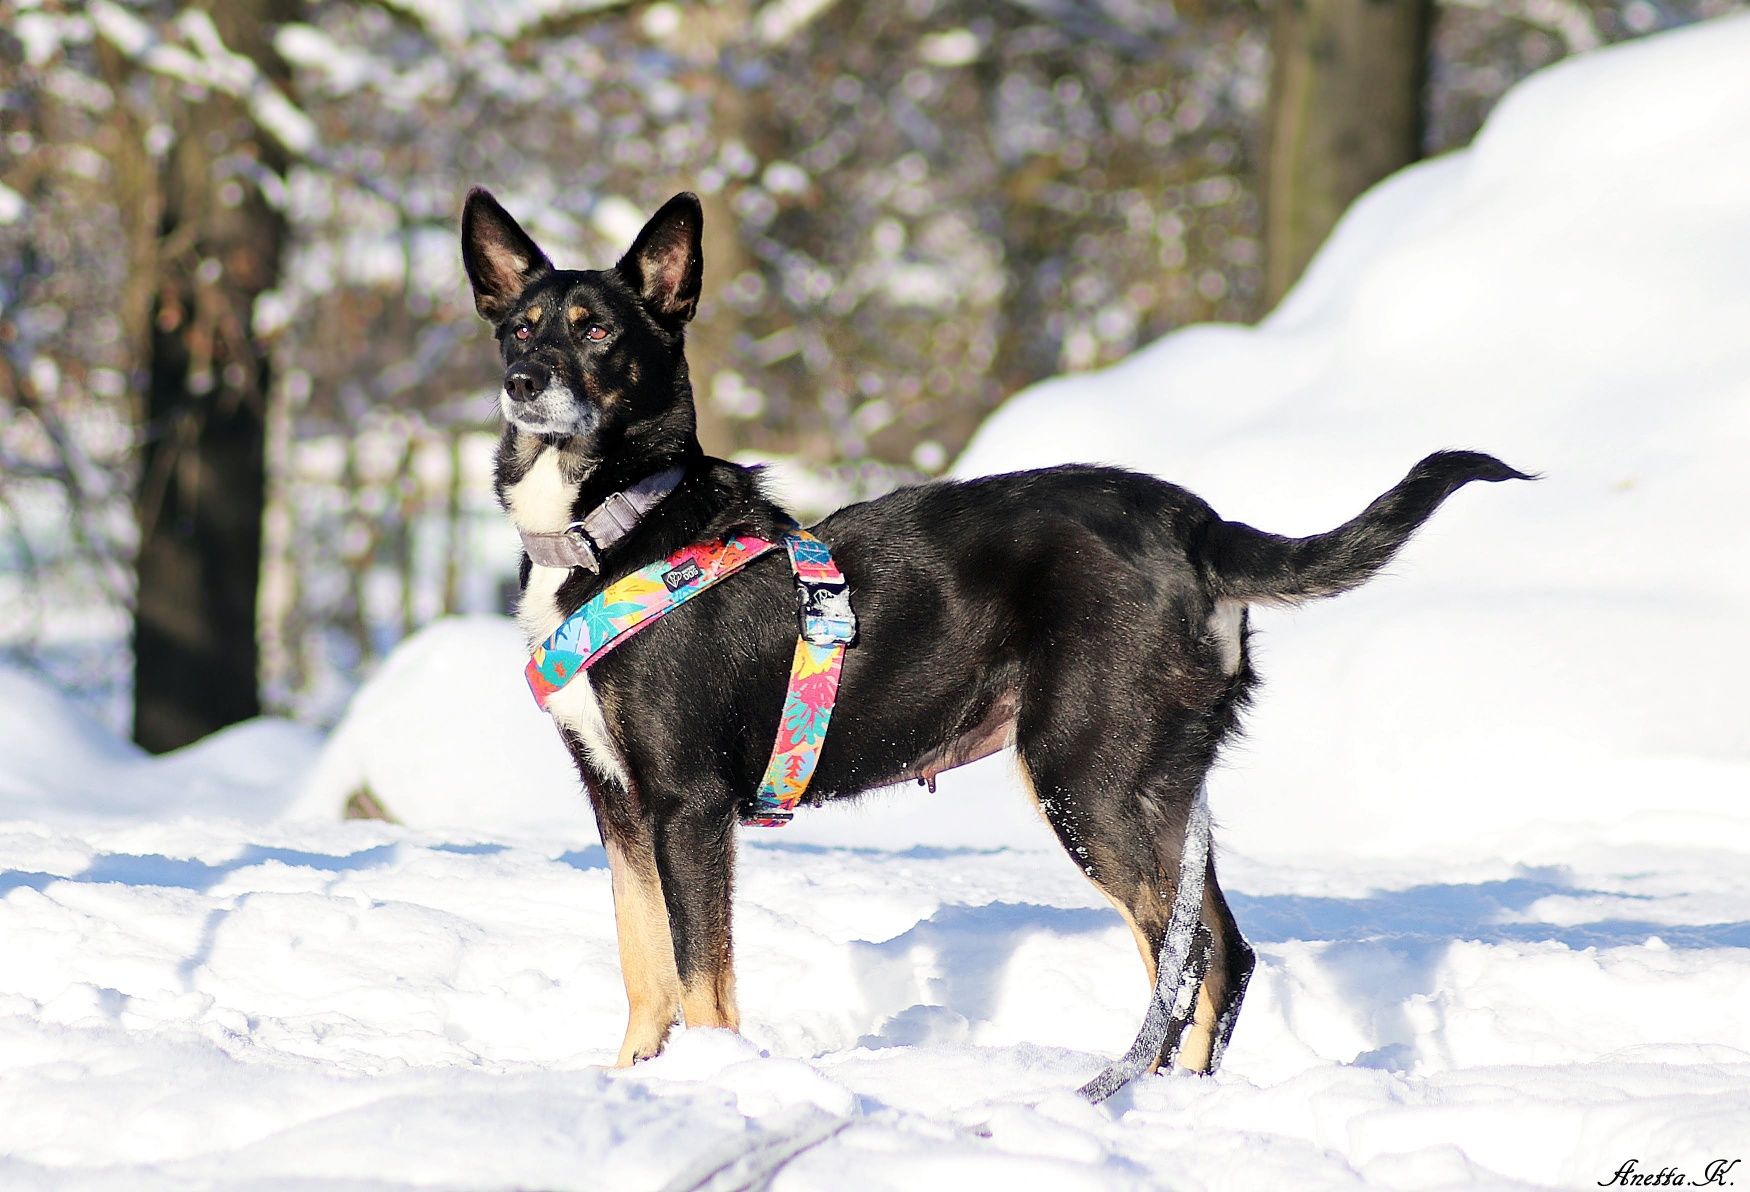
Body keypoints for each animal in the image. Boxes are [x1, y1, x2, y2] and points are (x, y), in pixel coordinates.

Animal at [458, 183, 1526, 1078]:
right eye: (517, 328)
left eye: (597, 330)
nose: (523, 379)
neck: (616, 524)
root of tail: (1198, 526)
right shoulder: (616, 802)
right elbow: (646, 971)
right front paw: (636, 1084)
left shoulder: (688, 803)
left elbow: (703, 983)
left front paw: (717, 1086)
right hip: (1158, 787)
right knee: (1219, 953)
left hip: (1086, 779)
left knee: (1190, 960)